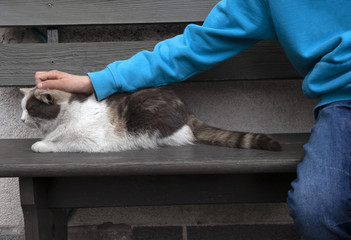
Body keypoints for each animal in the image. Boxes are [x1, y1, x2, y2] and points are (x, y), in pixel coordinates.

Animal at [20, 87, 284, 153]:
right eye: (21, 109)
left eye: (30, 109)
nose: (21, 120)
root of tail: (186, 110)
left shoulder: (91, 142)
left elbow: (65, 143)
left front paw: (43, 145)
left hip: (146, 115)